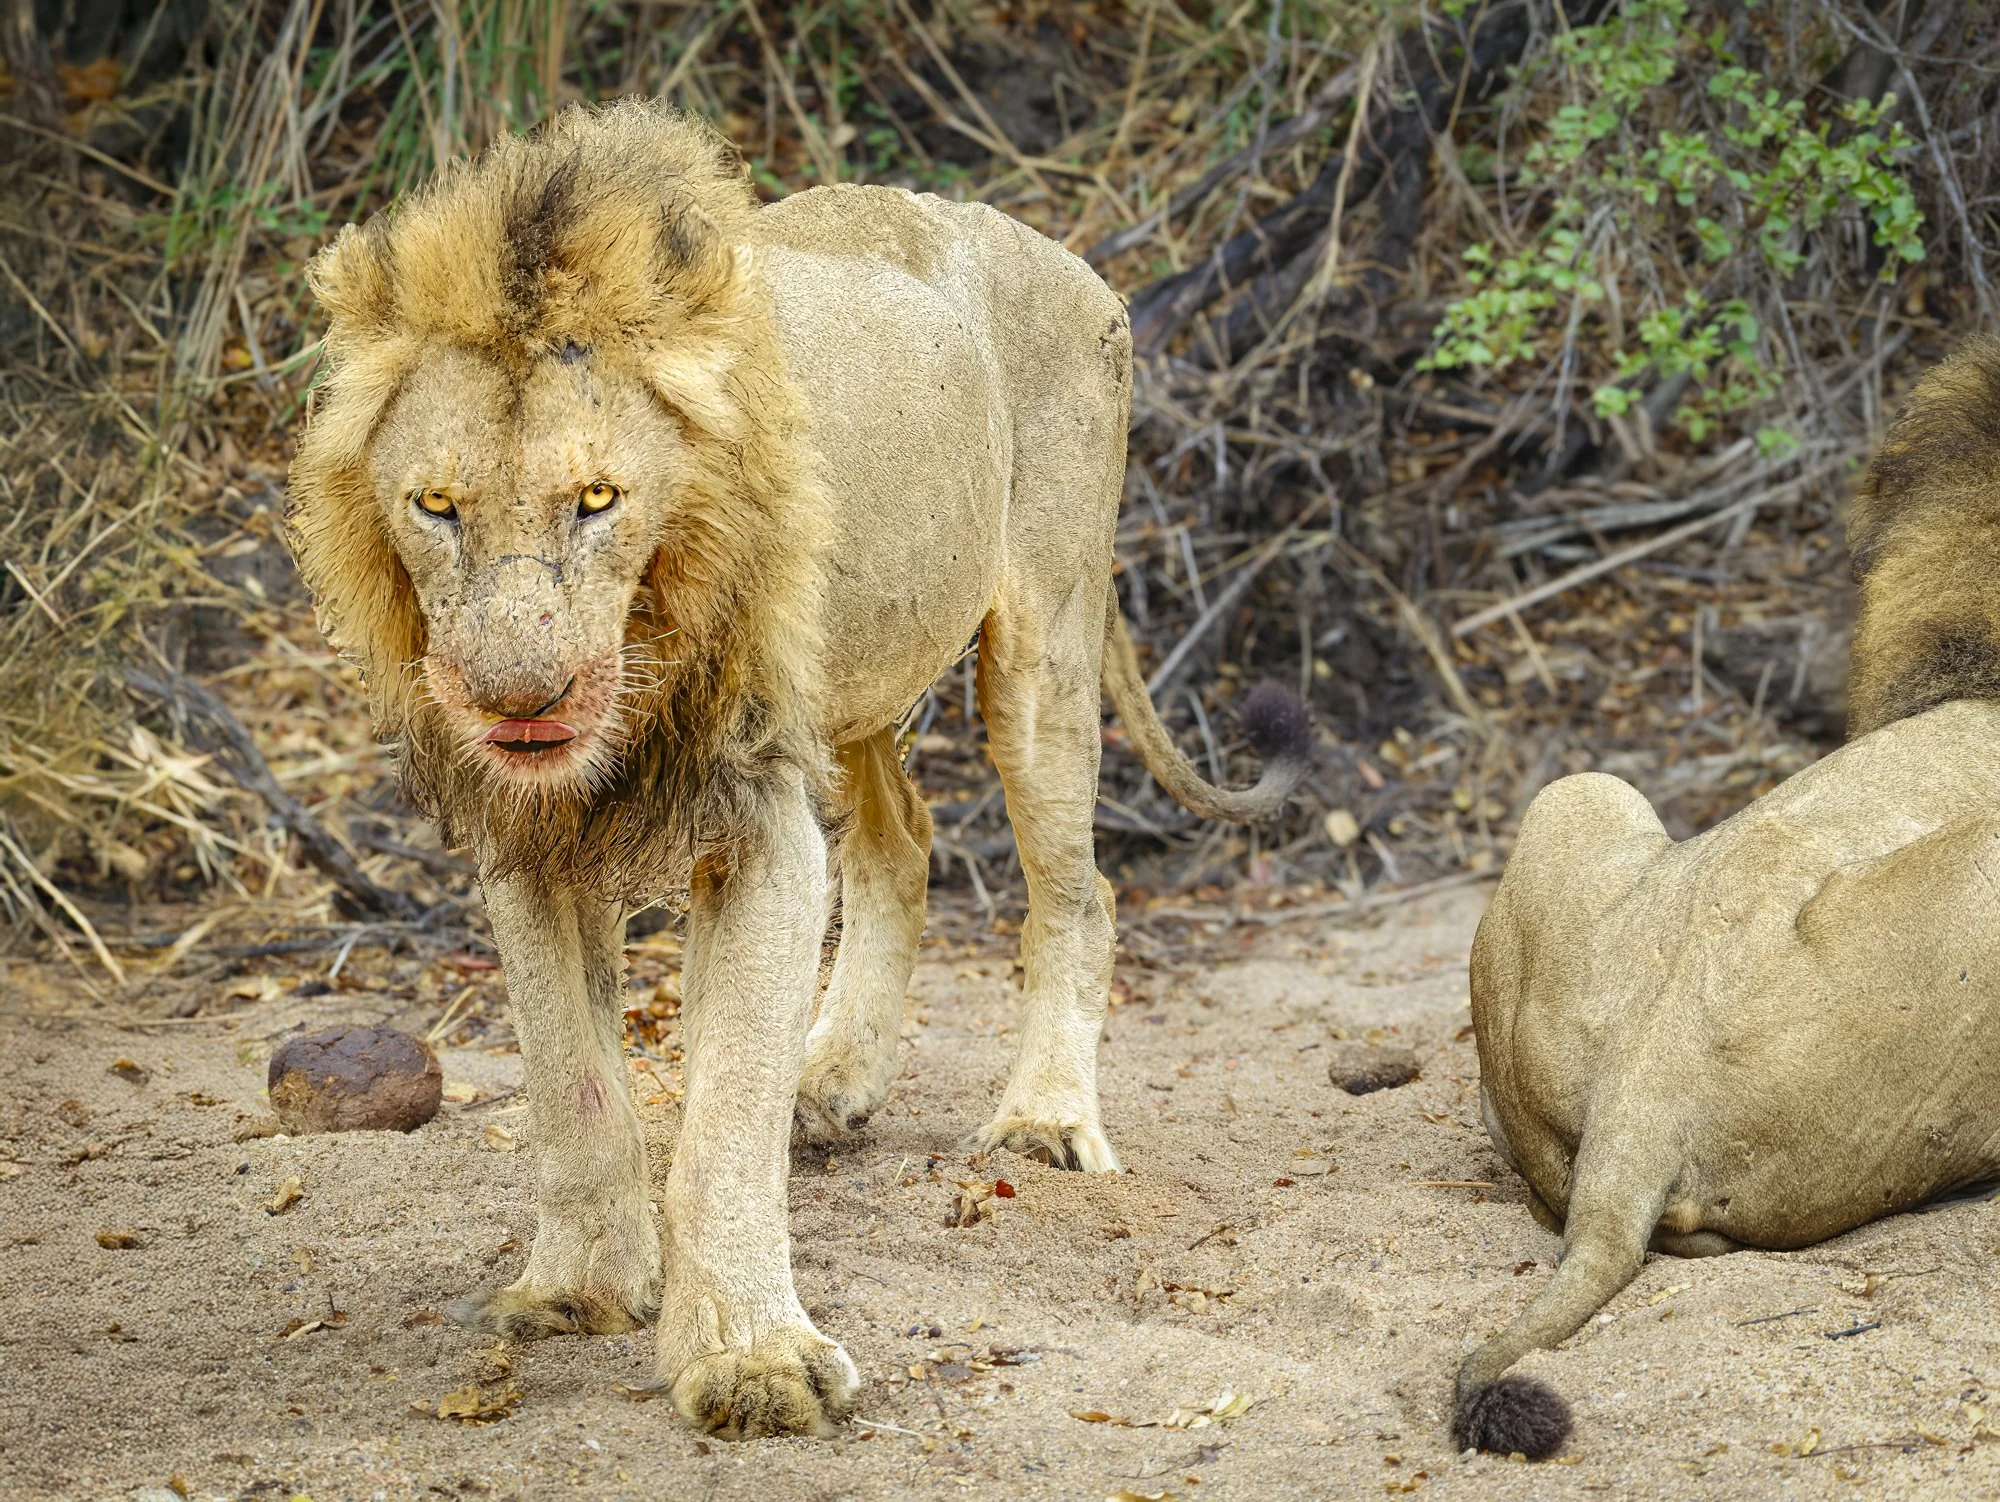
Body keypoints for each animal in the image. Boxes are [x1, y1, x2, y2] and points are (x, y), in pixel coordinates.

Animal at [286, 100, 1309, 1441]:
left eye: (597, 497)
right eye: (438, 504)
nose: (519, 702)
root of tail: (1063, 253)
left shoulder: (758, 823)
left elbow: (722, 1116)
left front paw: (750, 1358)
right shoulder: (527, 839)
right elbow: (572, 1085)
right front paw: (576, 1288)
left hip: (1039, 638)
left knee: (1076, 892)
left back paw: (1041, 1120)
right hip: (858, 665)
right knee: (902, 841)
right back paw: (834, 1082)